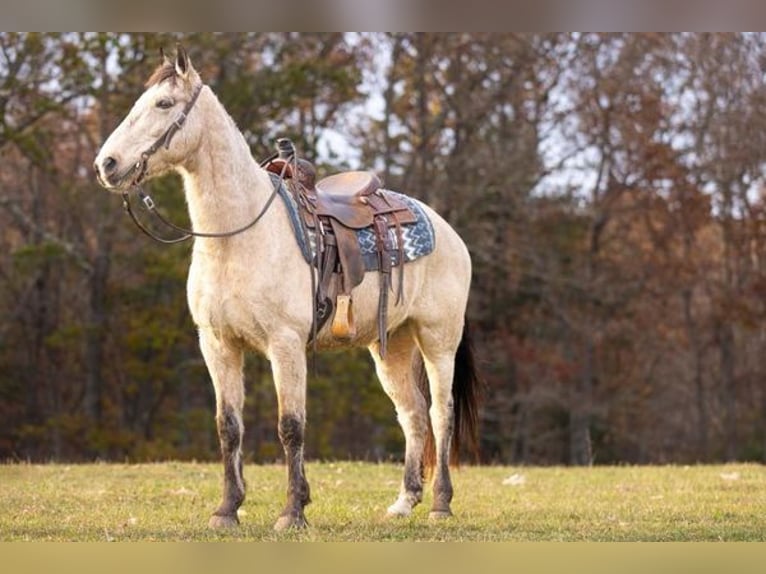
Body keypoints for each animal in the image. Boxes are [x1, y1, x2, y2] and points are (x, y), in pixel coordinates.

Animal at [94, 47, 480, 532]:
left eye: (164, 104)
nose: (106, 165)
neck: (239, 237)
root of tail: (447, 230)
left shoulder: (286, 344)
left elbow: (291, 426)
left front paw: (293, 511)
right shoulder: (217, 344)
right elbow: (228, 427)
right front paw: (227, 509)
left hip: (437, 340)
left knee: (440, 414)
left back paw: (440, 503)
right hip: (390, 346)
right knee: (411, 415)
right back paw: (403, 502)